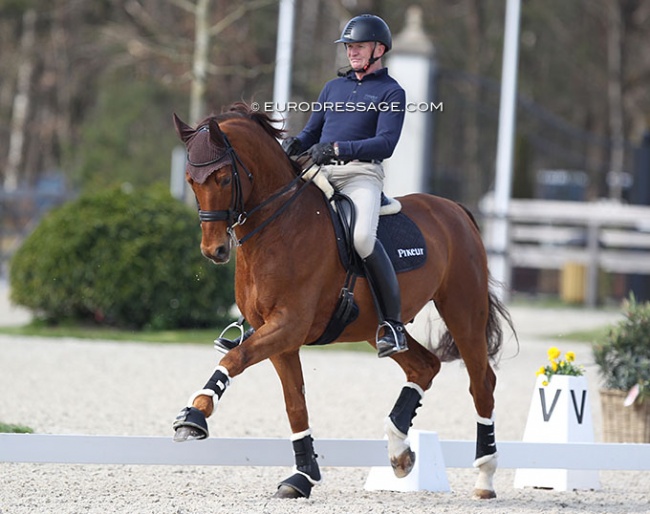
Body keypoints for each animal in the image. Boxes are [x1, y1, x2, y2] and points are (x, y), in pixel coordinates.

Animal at [171, 102, 512, 498]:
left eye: (224, 179)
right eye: (190, 180)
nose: (214, 251)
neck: (279, 227)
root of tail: (454, 210)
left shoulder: (288, 326)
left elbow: (235, 357)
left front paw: (195, 415)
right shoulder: (281, 340)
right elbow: (295, 405)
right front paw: (302, 477)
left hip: (463, 311)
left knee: (481, 384)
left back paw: (484, 477)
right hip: (376, 327)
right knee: (424, 366)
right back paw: (398, 450)